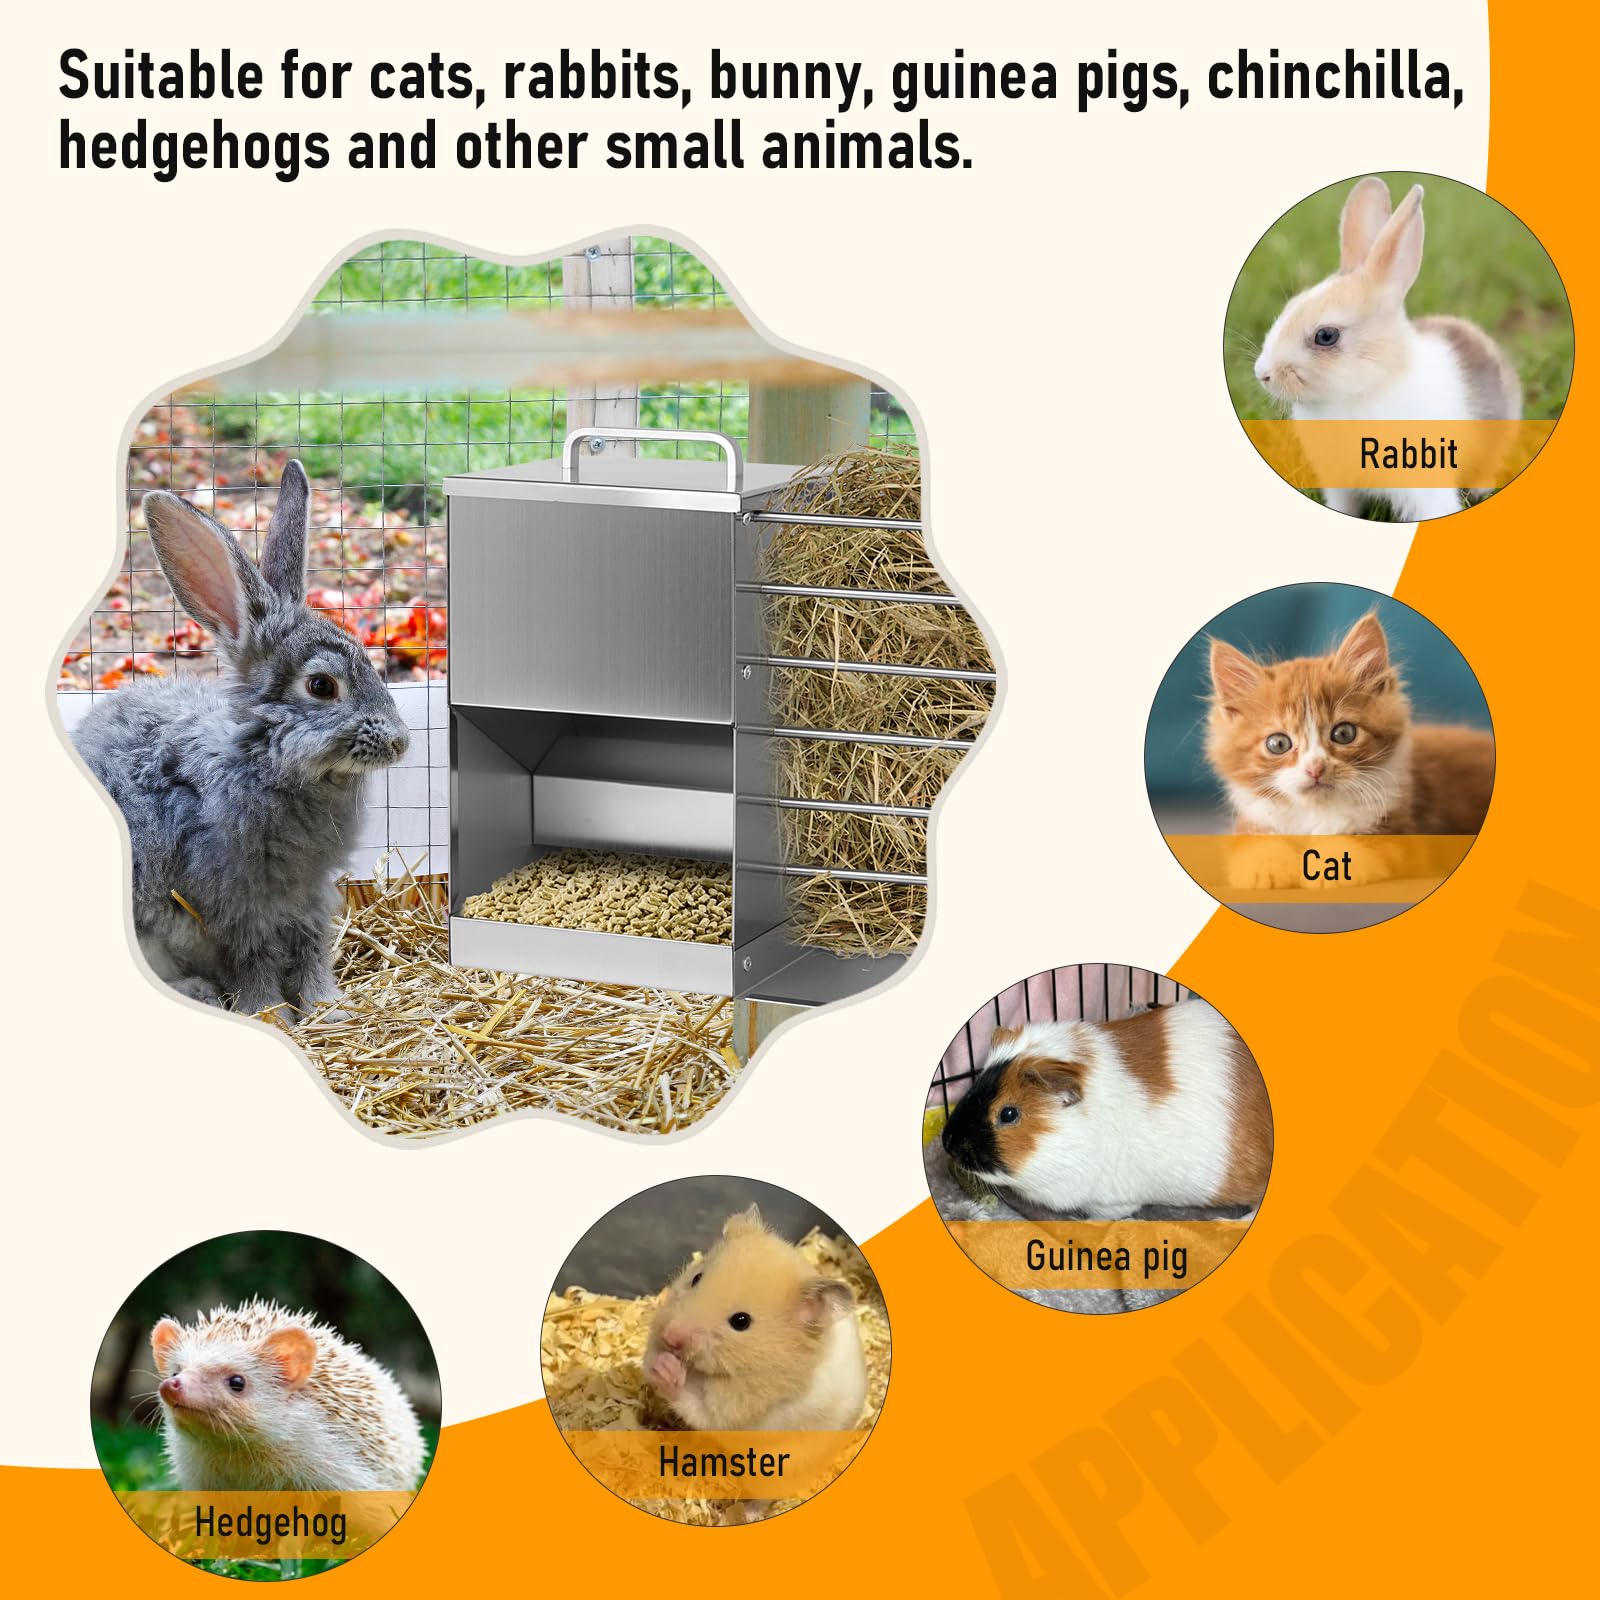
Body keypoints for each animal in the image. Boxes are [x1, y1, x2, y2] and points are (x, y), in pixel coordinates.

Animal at [72, 461, 410, 1016]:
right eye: (322, 686)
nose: (401, 742)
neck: (264, 760)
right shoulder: (236, 905)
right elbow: (254, 958)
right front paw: (268, 1012)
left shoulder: (309, 896)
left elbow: (312, 947)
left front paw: (326, 1007)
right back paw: (200, 992)